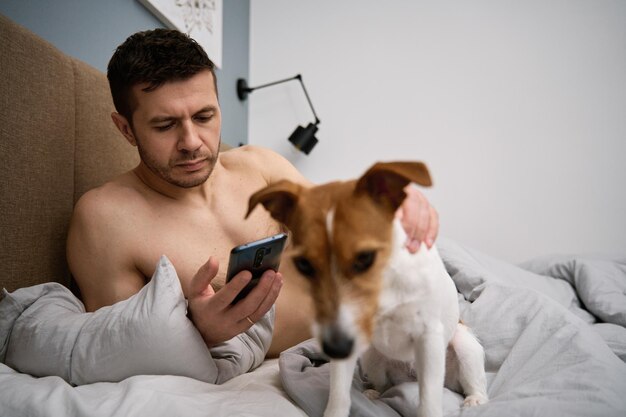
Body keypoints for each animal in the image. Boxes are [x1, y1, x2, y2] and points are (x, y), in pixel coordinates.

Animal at [246, 162, 486, 416]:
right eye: (303, 264)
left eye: (365, 258)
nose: (335, 348)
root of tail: (409, 378)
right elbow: (338, 397)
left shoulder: (428, 337)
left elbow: (429, 401)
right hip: (373, 356)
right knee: (385, 385)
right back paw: (374, 393)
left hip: (464, 346)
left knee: (472, 383)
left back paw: (475, 399)